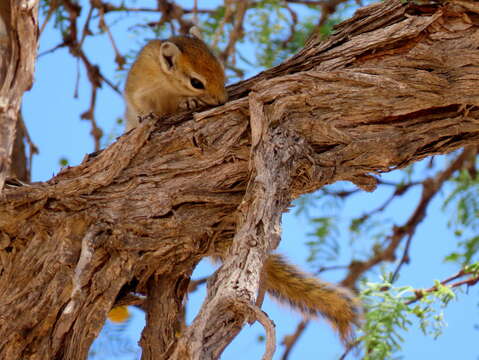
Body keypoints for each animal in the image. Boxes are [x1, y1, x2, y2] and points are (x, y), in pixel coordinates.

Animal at [119, 26, 360, 342]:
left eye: (221, 69)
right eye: (196, 82)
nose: (221, 100)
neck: (167, 82)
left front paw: (188, 104)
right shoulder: (139, 89)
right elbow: (141, 107)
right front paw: (152, 115)